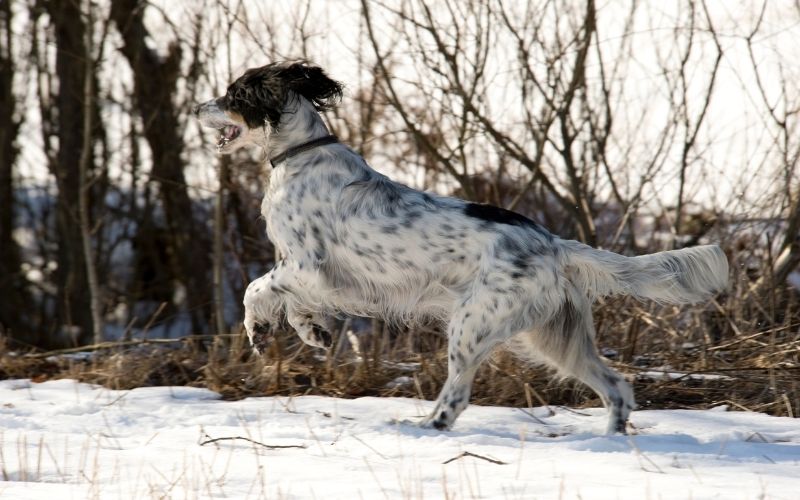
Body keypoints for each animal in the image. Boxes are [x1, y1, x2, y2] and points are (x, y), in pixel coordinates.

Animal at [192, 61, 724, 434]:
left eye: (234, 93)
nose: (196, 107)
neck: (300, 156)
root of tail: (553, 244)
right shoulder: (307, 273)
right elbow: (292, 301)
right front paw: (313, 332)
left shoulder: (307, 265)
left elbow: (256, 288)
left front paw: (260, 331)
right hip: (555, 335)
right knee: (617, 388)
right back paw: (610, 440)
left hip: (472, 325)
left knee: (458, 396)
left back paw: (425, 427)